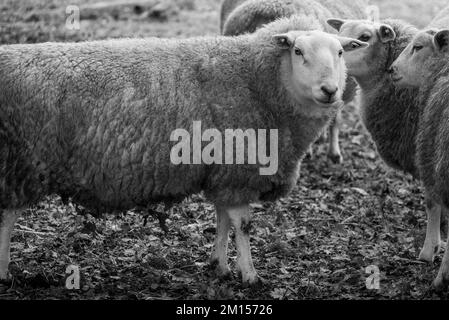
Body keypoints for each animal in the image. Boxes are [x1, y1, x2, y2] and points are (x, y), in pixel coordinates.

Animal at [0, 15, 368, 284]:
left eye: (340, 53)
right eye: (298, 52)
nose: (330, 90)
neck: (256, 81)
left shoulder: (223, 173)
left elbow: (222, 219)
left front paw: (219, 265)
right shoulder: (238, 171)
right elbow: (243, 225)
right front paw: (249, 274)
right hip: (20, 163)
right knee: (7, 219)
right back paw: (4, 273)